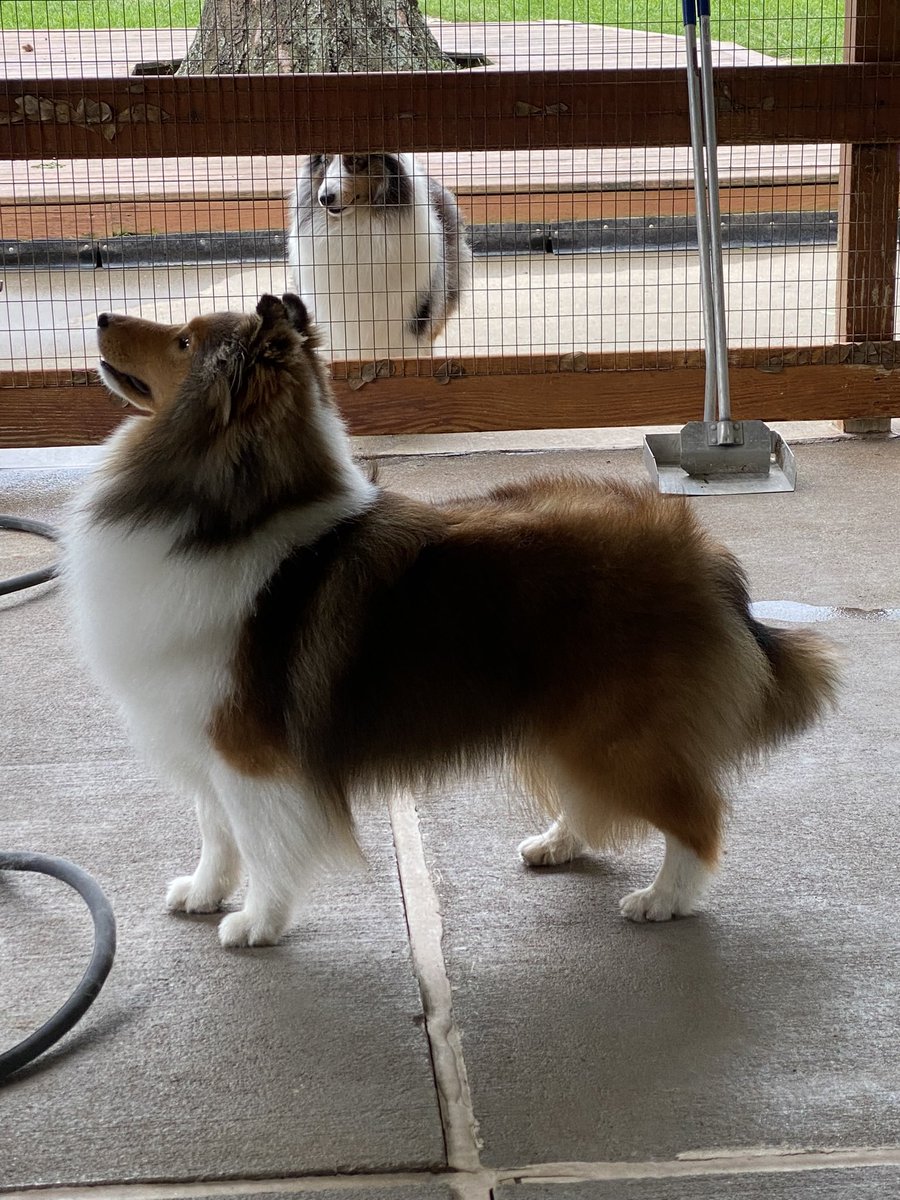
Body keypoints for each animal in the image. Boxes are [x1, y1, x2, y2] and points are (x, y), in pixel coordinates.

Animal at [66, 292, 844, 945]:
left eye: (183, 342)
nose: (99, 316)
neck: (227, 512)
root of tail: (702, 554)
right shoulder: (202, 736)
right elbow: (215, 831)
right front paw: (203, 893)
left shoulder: (247, 751)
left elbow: (258, 841)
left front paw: (257, 923)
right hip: (569, 719)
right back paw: (558, 842)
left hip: (620, 730)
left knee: (696, 816)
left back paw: (663, 899)